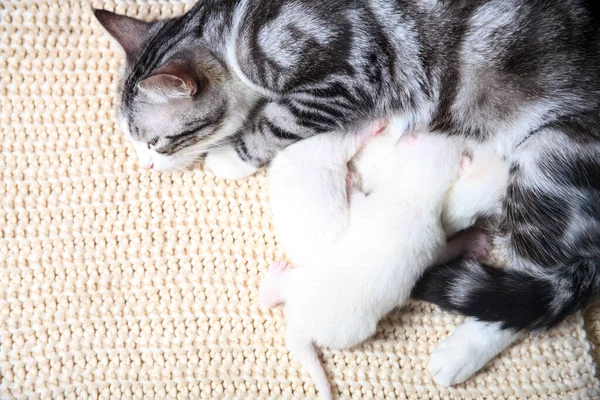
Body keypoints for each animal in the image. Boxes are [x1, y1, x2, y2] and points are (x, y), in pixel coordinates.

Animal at [260, 119, 508, 400]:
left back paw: (270, 287)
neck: (412, 191)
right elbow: (444, 250)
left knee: (280, 289)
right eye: (450, 142)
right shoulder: (429, 235)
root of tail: (298, 326)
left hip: (302, 278)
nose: (458, 137)